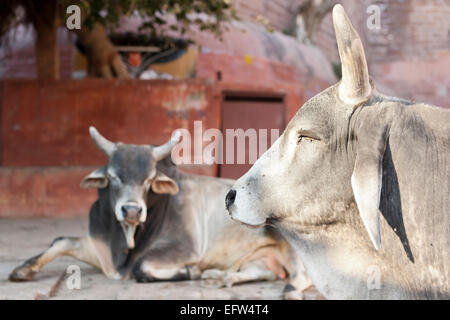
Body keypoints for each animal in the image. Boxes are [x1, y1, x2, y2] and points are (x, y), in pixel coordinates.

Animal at [8, 127, 312, 298]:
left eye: (148, 179)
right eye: (113, 176)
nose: (131, 210)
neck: (124, 245)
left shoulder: (183, 249)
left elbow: (142, 268)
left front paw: (191, 271)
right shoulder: (99, 247)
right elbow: (61, 240)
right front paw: (22, 269)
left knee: (302, 276)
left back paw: (289, 293)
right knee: (264, 272)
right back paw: (220, 276)